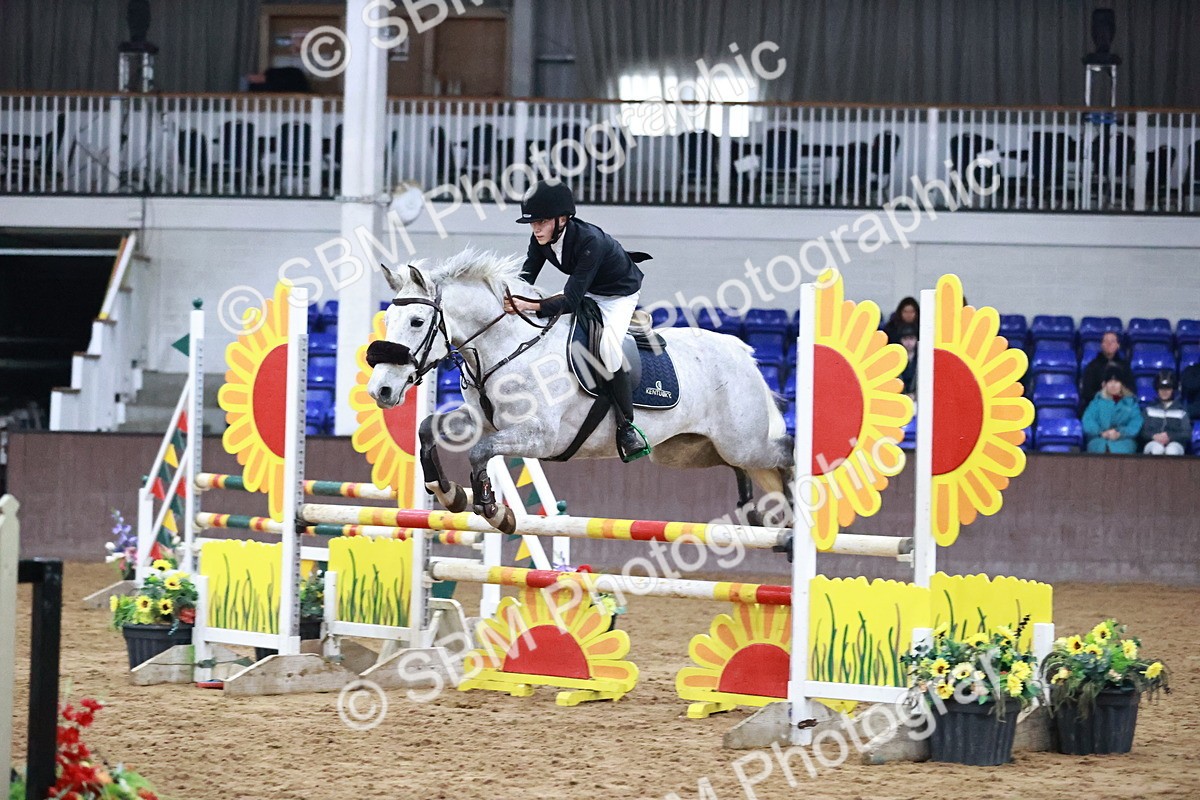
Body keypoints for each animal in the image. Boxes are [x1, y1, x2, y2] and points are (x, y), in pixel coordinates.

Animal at [366, 248, 794, 534]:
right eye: (388, 319)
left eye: (417, 321)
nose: (381, 390)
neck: (507, 347)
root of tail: (743, 353)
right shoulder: (482, 421)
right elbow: (427, 430)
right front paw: (447, 492)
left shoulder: (541, 437)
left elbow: (479, 453)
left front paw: (492, 509)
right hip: (690, 451)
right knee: (751, 470)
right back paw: (762, 516)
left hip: (742, 442)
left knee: (783, 455)